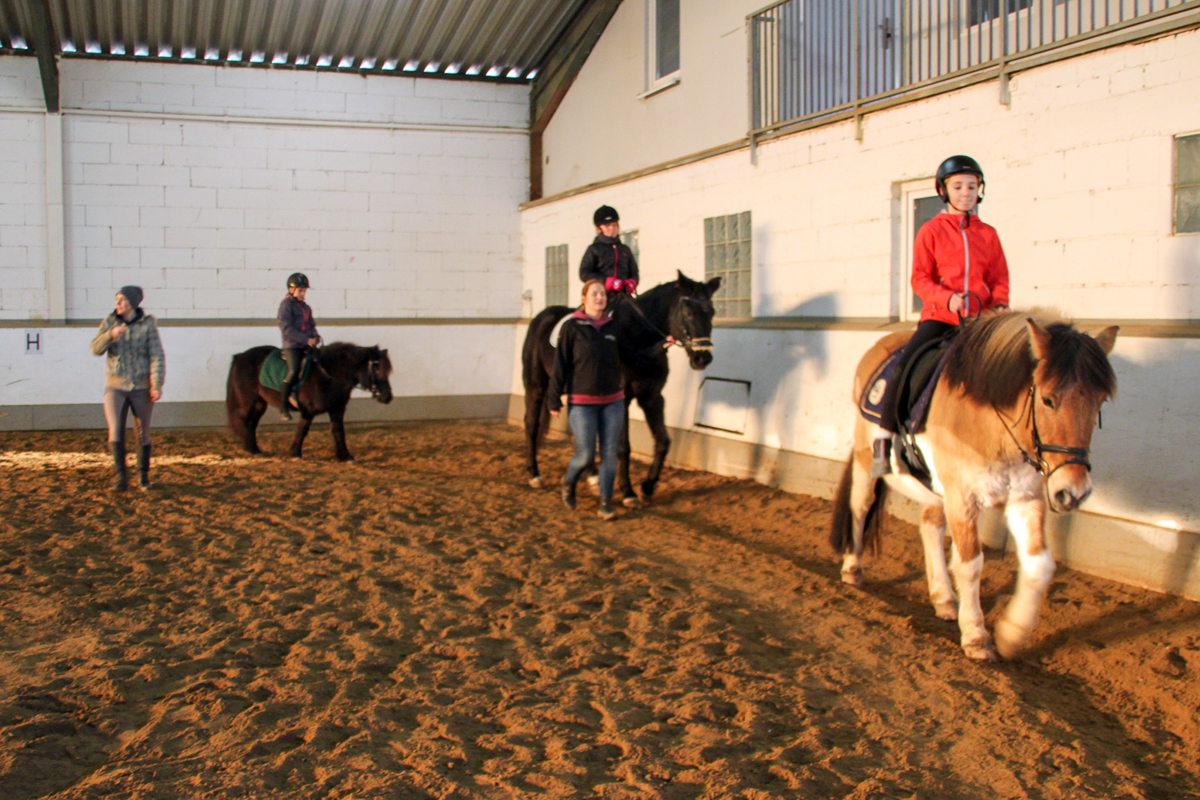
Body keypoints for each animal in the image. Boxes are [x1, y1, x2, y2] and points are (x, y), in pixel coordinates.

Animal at [225, 340, 393, 460]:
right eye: (376, 368)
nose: (387, 396)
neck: (328, 375)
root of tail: (240, 356)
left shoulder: (337, 409)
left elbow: (338, 431)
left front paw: (344, 456)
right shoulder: (308, 410)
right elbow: (302, 430)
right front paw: (295, 453)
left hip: (260, 403)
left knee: (252, 423)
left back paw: (255, 449)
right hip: (248, 401)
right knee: (243, 420)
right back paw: (249, 447)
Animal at [520, 272, 715, 503]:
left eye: (712, 312)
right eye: (687, 312)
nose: (703, 358)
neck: (637, 339)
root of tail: (542, 317)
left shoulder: (652, 397)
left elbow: (663, 441)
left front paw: (648, 486)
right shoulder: (621, 399)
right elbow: (623, 447)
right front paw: (628, 492)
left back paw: (592, 477)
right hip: (536, 384)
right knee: (531, 424)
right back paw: (534, 474)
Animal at [830, 309, 1118, 662]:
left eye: (1099, 402)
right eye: (1048, 399)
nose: (1073, 491)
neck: (992, 428)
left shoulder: (1025, 499)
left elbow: (1039, 565)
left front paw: (1011, 633)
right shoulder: (962, 497)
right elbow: (970, 564)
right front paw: (976, 637)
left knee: (930, 527)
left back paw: (943, 597)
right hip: (865, 461)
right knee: (860, 507)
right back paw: (852, 568)